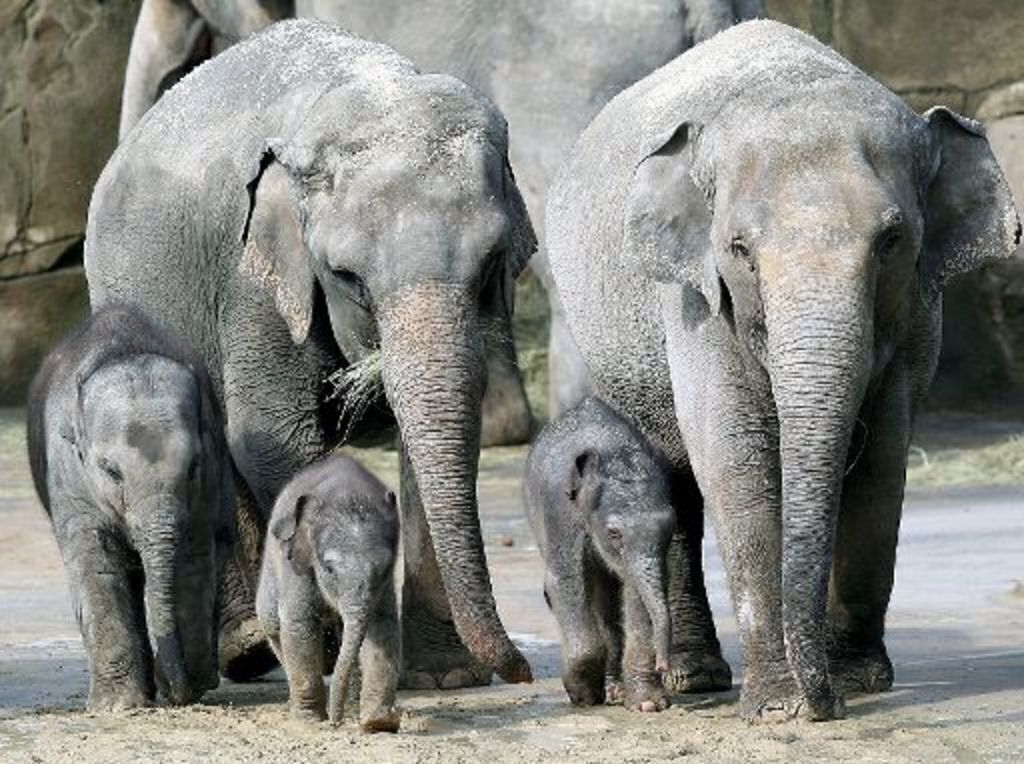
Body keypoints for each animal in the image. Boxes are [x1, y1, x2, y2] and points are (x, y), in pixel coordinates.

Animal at [25, 305, 232, 710]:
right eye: (111, 471)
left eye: (193, 466)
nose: (177, 689)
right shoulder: (68, 474)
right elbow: (97, 564)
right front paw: (119, 706)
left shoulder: (209, 478)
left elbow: (193, 559)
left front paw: (191, 682)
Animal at [87, 20, 535, 690]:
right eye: (346, 276)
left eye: (490, 264)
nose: (526, 670)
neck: (369, 89)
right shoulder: (252, 284)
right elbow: (274, 437)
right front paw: (323, 648)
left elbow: (440, 434)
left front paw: (446, 676)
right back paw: (248, 650)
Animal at [257, 453, 400, 731]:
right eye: (328, 568)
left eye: (385, 568)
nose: (336, 723)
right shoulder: (298, 566)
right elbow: (299, 623)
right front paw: (310, 723)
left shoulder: (385, 587)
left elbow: (383, 625)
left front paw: (378, 723)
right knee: (272, 623)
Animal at [524, 397, 678, 712]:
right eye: (614, 533)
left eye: (672, 526)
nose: (663, 666)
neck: (612, 450)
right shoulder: (560, 512)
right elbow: (567, 582)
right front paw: (583, 696)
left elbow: (635, 593)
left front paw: (648, 705)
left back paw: (616, 691)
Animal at [547, 20, 1020, 721]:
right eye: (740, 248)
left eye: (891, 241)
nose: (827, 703)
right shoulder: (695, 301)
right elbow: (736, 464)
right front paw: (779, 706)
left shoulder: (916, 313)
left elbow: (882, 464)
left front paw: (857, 681)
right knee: (667, 473)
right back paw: (694, 679)